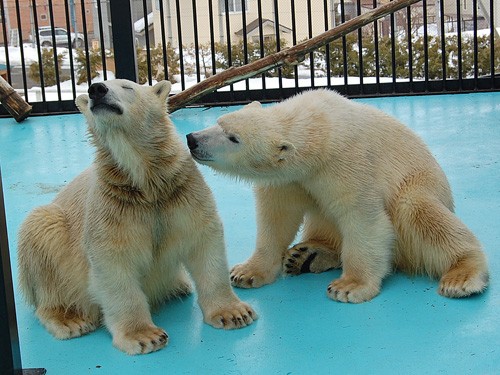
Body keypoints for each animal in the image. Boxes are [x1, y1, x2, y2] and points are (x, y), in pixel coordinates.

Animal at [17, 79, 256, 356]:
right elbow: (114, 267)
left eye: (127, 87)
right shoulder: (114, 208)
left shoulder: (180, 191)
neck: (145, 183)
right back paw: (69, 319)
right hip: (50, 232)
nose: (96, 89)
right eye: (91, 90)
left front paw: (234, 313)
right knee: (42, 233)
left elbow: (203, 240)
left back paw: (178, 285)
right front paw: (145, 336)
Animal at [187, 90, 488, 306]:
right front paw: (246, 272)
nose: (192, 139)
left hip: (416, 188)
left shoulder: (347, 163)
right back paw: (306, 255)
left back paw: (461, 276)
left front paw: (349, 286)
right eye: (219, 122)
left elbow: (364, 220)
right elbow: (276, 219)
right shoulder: (289, 179)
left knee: (419, 213)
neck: (319, 127)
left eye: (233, 138)